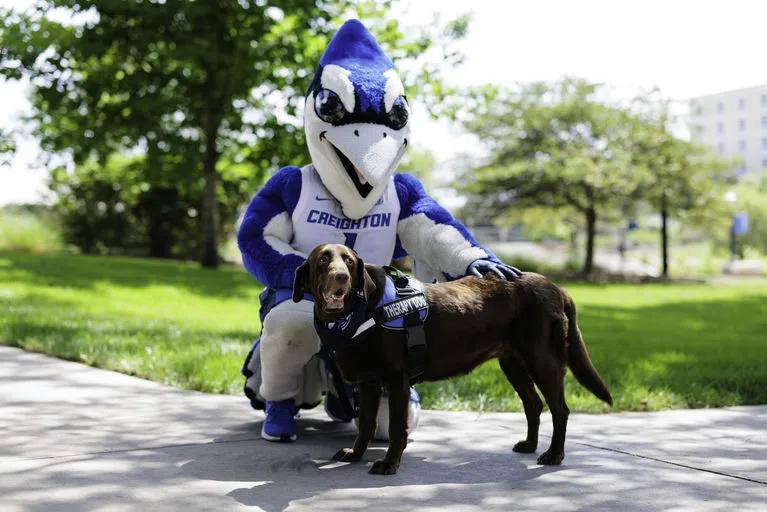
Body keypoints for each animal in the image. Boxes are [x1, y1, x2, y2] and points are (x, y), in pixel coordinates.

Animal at [292, 244, 616, 476]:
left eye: (348, 261)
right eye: (323, 260)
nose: (341, 277)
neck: (358, 311)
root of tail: (557, 288)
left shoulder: (397, 381)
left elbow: (396, 429)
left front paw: (389, 464)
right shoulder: (368, 382)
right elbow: (365, 425)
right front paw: (356, 454)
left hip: (543, 359)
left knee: (559, 409)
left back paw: (553, 455)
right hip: (512, 362)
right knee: (534, 404)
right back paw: (530, 446)